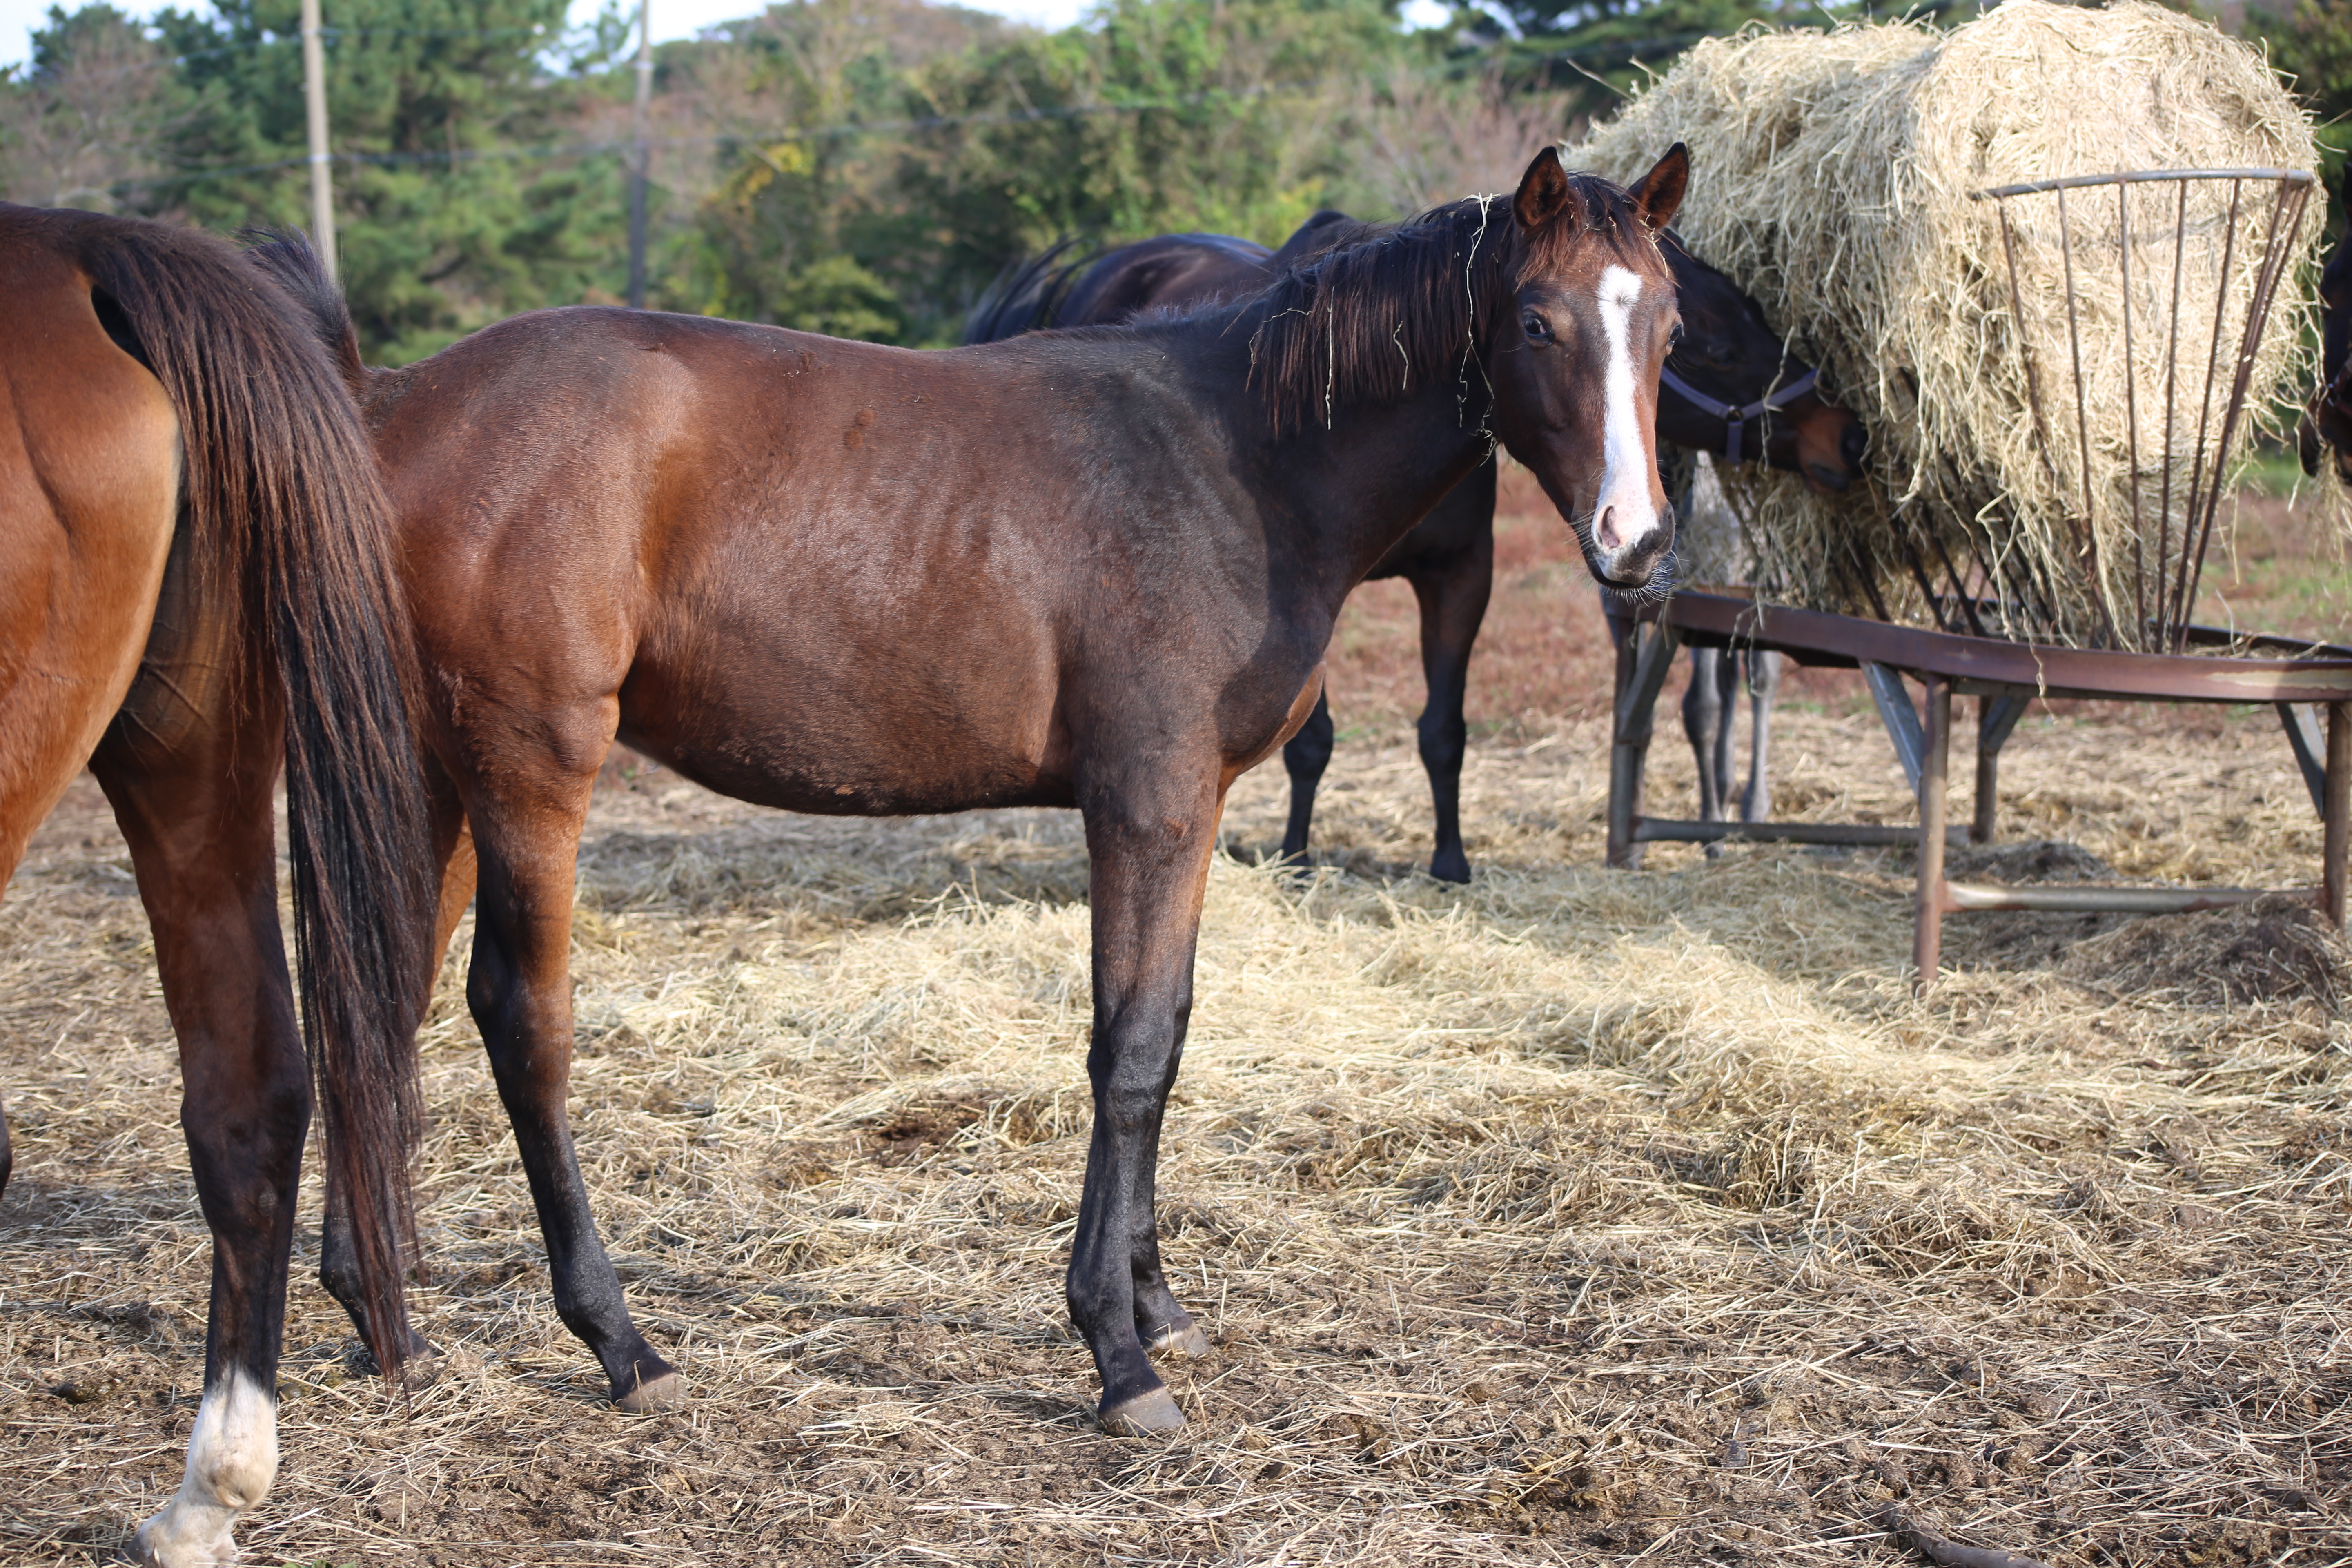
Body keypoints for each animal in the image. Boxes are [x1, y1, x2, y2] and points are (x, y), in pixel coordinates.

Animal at [253, 147, 1693, 1439]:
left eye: (1670, 323)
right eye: (1538, 319)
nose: (1637, 545)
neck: (1239, 462)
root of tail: (388, 400)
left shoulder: (1198, 810)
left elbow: (1169, 1031)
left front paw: (1156, 1301)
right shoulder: (1146, 804)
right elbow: (1129, 1051)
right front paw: (1117, 1351)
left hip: (434, 775)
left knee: (375, 994)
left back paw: (380, 1311)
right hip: (529, 768)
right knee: (519, 1017)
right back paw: (620, 1341)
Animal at [964, 201, 1862, 879]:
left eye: (1674, 335)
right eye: (1714, 346)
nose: (1846, 435)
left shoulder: (1462, 575)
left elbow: (1444, 730)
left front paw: (1450, 861)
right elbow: (1313, 741)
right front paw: (1297, 856)